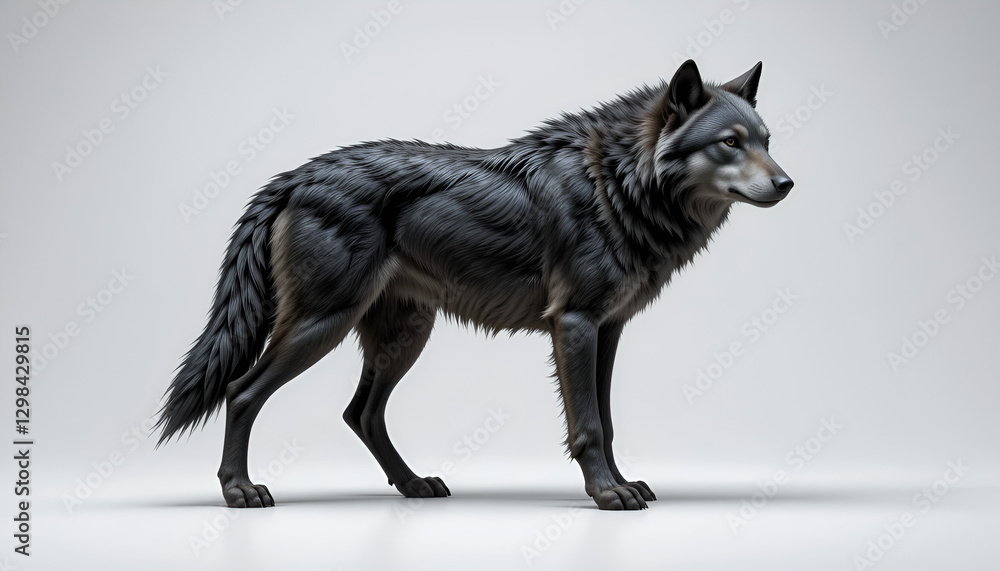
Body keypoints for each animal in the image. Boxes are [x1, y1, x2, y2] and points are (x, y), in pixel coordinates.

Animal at [156, 60, 793, 510]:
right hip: (323, 325)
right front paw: (607, 494)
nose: (787, 183)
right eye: (730, 142)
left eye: (766, 140)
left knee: (361, 413)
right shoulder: (576, 324)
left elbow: (608, 423)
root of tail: (295, 175)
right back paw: (239, 492)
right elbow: (588, 426)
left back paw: (414, 486)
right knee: (242, 392)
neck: (617, 184)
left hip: (404, 336)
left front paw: (621, 483)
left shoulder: (608, 329)